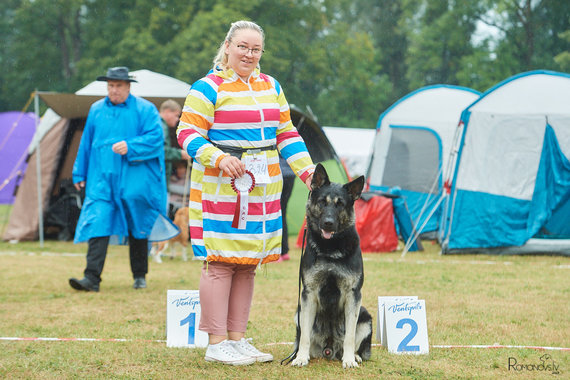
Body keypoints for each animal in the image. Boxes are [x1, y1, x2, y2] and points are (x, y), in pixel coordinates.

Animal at [288, 163, 372, 368]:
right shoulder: (308, 294)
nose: (328, 223)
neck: (330, 249)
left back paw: (354, 356)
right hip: (298, 312)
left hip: (365, 316)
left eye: (340, 204)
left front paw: (349, 360)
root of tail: (329, 348)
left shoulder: (353, 295)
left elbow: (350, 336)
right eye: (322, 202)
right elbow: (304, 336)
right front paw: (301, 357)